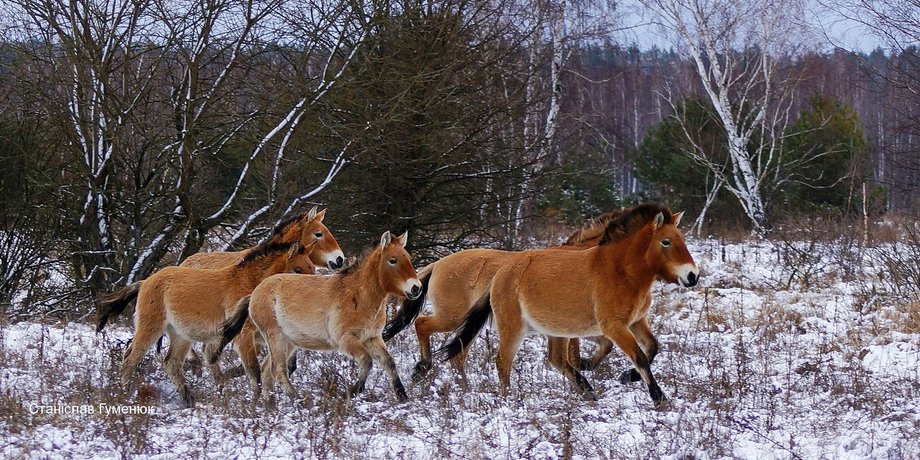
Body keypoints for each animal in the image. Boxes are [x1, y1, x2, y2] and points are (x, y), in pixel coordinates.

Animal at [98, 240, 316, 407]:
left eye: (312, 268)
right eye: (297, 269)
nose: (309, 293)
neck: (251, 284)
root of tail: (146, 281)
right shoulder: (244, 336)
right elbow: (254, 370)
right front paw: (257, 404)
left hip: (181, 336)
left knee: (171, 363)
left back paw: (189, 400)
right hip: (151, 329)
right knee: (131, 358)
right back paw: (124, 394)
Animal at [215, 231, 422, 405]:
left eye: (408, 258)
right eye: (392, 260)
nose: (416, 288)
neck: (357, 296)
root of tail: (255, 293)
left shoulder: (372, 338)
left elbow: (389, 363)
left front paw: (403, 397)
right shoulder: (346, 340)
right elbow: (366, 361)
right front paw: (351, 392)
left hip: (289, 342)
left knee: (267, 370)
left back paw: (269, 407)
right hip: (276, 337)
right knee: (278, 371)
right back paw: (300, 401)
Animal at [381, 209, 624, 384]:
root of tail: (439, 264)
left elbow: (604, 345)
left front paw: (587, 368)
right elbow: (580, 353)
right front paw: (584, 369)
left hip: (468, 324)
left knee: (457, 357)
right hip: (453, 318)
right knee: (422, 325)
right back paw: (423, 367)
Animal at [435, 203, 699, 406]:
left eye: (682, 240)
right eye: (666, 242)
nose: (692, 275)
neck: (619, 271)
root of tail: (502, 271)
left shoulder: (636, 321)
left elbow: (653, 347)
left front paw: (627, 376)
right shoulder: (614, 326)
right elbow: (639, 356)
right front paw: (659, 398)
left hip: (556, 330)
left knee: (556, 360)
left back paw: (588, 391)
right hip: (513, 328)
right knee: (502, 362)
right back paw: (509, 400)